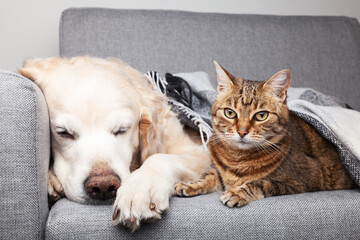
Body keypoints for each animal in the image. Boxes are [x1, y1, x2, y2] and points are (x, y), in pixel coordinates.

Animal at [19, 55, 211, 231]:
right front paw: (52, 178)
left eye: (122, 129)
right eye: (63, 132)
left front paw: (141, 189)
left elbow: (159, 158)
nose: (103, 186)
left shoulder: (197, 151)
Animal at [175, 62, 358, 208]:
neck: (237, 159)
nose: (242, 131)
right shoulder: (220, 172)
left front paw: (237, 193)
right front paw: (189, 184)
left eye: (261, 115)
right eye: (230, 113)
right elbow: (209, 175)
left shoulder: (302, 182)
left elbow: (261, 183)